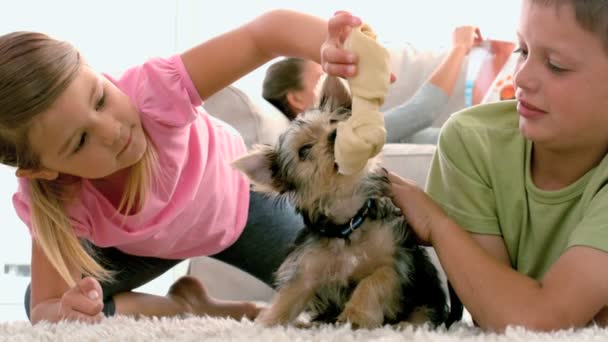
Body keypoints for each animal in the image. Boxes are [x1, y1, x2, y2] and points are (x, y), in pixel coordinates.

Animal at [233, 77, 460, 328]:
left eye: (334, 122)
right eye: (304, 150)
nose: (334, 134)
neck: (349, 219)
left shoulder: (397, 258)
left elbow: (375, 279)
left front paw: (356, 315)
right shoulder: (308, 267)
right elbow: (290, 295)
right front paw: (268, 322)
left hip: (426, 299)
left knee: (422, 313)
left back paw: (407, 324)